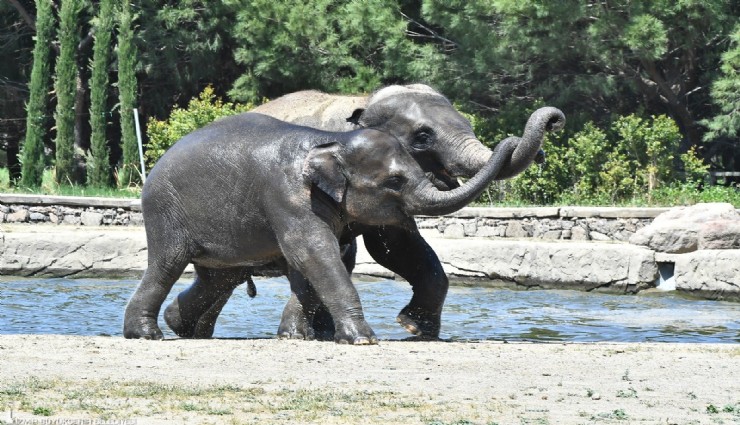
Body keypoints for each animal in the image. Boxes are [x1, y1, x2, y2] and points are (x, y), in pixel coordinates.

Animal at [173, 84, 568, 340]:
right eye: (422, 136)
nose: (552, 123)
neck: (364, 102)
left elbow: (400, 247)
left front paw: (415, 328)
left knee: (224, 277)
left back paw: (186, 328)